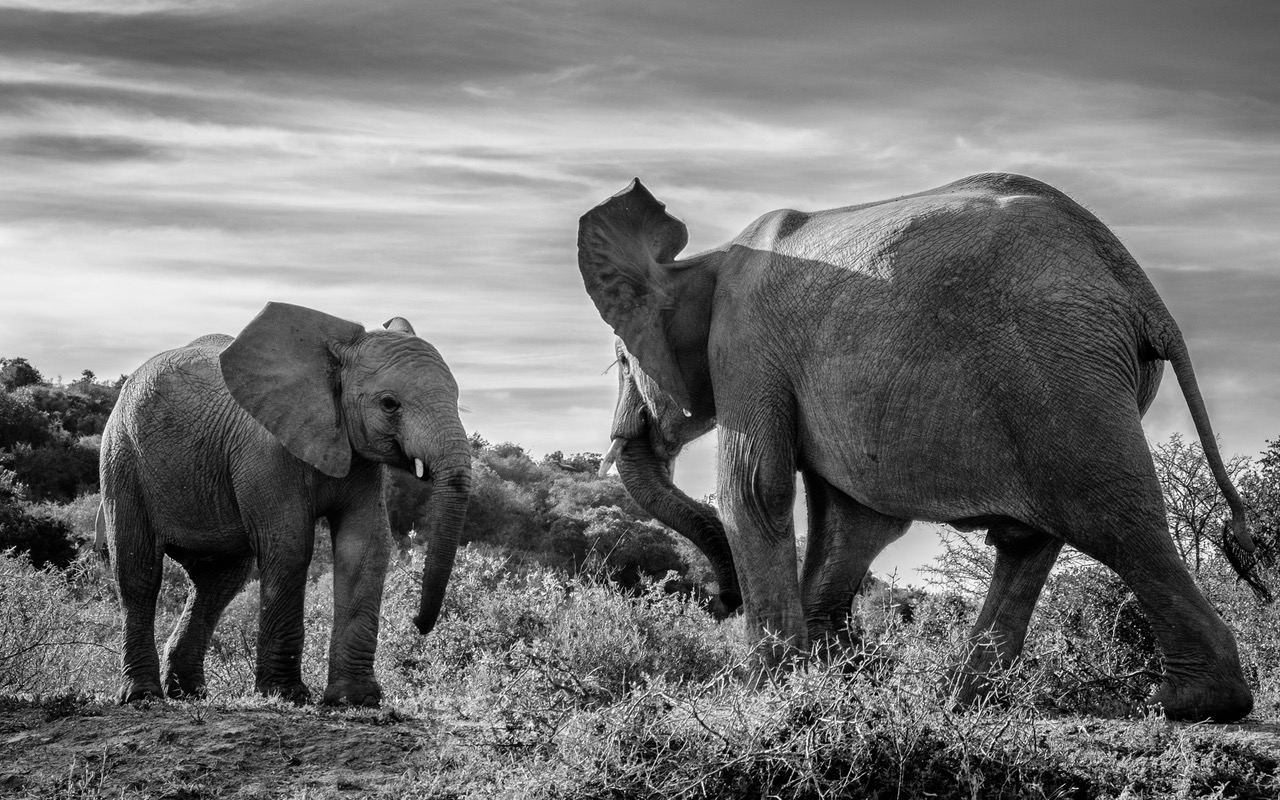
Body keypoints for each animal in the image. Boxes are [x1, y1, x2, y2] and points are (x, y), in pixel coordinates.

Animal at [98, 300, 471, 706]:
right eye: (390, 404)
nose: (418, 624)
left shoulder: (359, 458)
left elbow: (366, 546)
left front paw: (354, 699)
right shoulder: (265, 449)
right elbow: (290, 544)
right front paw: (286, 695)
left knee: (217, 584)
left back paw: (189, 694)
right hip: (122, 456)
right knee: (138, 572)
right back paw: (143, 696)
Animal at [581, 171, 1259, 721]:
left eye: (622, 359)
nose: (720, 601)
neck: (709, 258)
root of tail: (1140, 287)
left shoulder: (744, 343)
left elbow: (755, 488)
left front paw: (769, 692)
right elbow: (854, 521)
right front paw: (835, 679)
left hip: (1057, 369)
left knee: (1110, 515)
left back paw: (1188, 705)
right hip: (1083, 371)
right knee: (1035, 538)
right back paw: (964, 699)